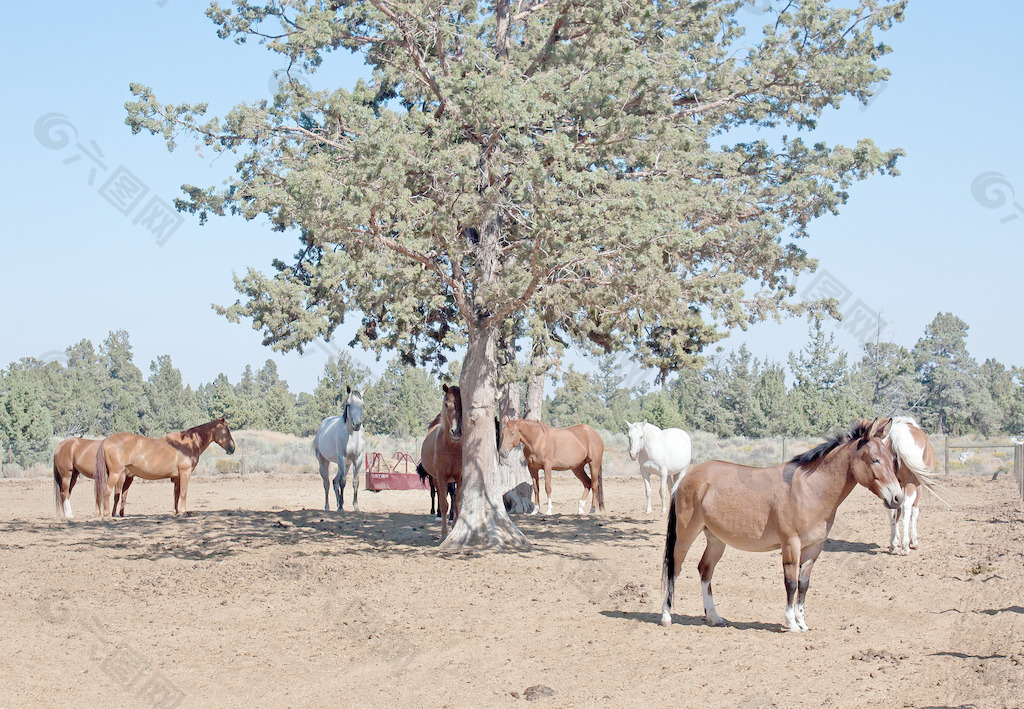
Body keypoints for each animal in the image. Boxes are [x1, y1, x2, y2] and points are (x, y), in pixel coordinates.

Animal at [93, 418, 234, 518]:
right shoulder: (185, 472)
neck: (187, 443)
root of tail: (106, 440)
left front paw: (176, 512)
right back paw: (107, 514)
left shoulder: (177, 477)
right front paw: (184, 511)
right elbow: (183, 492)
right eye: (226, 430)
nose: (232, 448)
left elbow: (176, 493)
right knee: (107, 491)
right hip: (115, 473)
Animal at [415, 385, 464, 540]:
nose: (456, 431)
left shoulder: (459, 478)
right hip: (434, 478)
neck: (451, 447)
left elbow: (457, 502)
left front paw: (454, 528)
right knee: (435, 494)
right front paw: (443, 535)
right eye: (447, 404)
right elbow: (444, 504)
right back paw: (435, 513)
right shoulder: (441, 477)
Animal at [659, 415, 901, 631]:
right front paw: (791, 623)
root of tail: (687, 478)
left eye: (892, 460)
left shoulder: (814, 548)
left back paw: (714, 617)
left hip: (716, 539)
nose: (897, 498)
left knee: (705, 570)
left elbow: (804, 584)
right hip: (686, 534)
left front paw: (802, 622)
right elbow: (791, 583)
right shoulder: (791, 544)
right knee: (675, 568)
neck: (809, 490)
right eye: (875, 460)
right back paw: (666, 617)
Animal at [884, 415, 937, 553]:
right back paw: (905, 545)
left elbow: (896, 511)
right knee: (907, 508)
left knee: (891, 510)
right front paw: (913, 541)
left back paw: (893, 545)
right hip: (911, 485)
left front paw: (894, 541)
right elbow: (914, 511)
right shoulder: (918, 486)